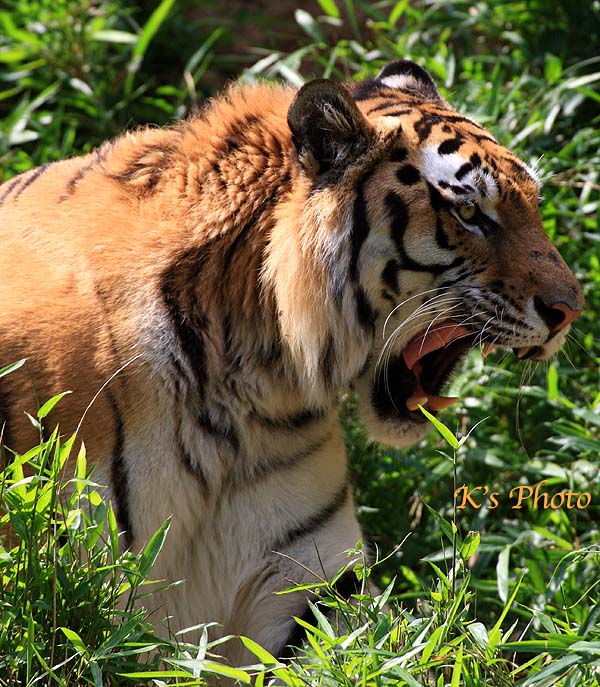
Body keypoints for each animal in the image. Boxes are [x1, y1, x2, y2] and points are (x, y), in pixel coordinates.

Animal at [0, 60, 580, 668]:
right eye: (469, 212)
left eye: (534, 206)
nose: (572, 309)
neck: (246, 385)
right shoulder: (76, 587)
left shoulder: (308, 583)